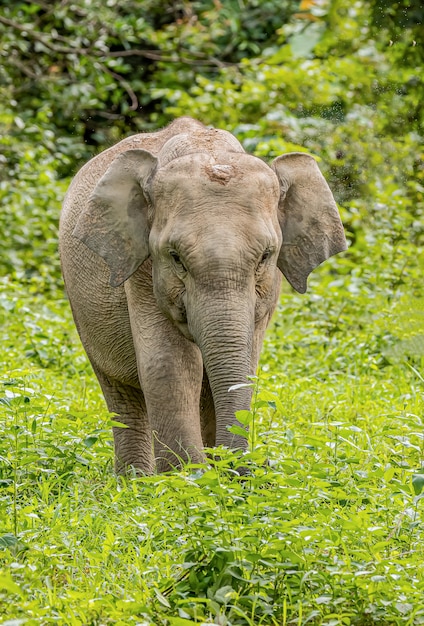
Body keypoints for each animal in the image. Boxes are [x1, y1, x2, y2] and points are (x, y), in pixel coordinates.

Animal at [58, 114, 344, 470]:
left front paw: (215, 470)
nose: (248, 467)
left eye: (266, 256)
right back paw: (136, 479)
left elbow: (243, 364)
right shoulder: (142, 273)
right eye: (175, 257)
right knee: (121, 390)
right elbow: (171, 365)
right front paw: (189, 475)